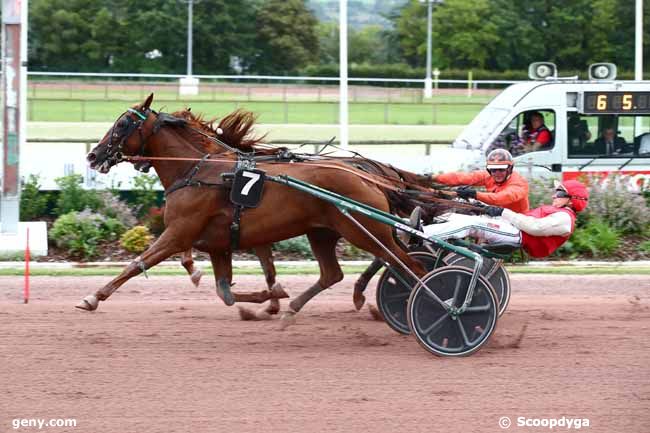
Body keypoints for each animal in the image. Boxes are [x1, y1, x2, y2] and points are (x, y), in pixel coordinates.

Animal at [81, 93, 426, 324]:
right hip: (324, 233)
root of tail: (370, 174)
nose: (93, 155)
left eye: (122, 124)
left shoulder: (179, 233)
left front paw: (93, 297)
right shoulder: (220, 243)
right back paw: (297, 308)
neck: (198, 171)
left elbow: (138, 262)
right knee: (337, 272)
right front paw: (268, 300)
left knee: (403, 263)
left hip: (363, 230)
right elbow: (227, 291)